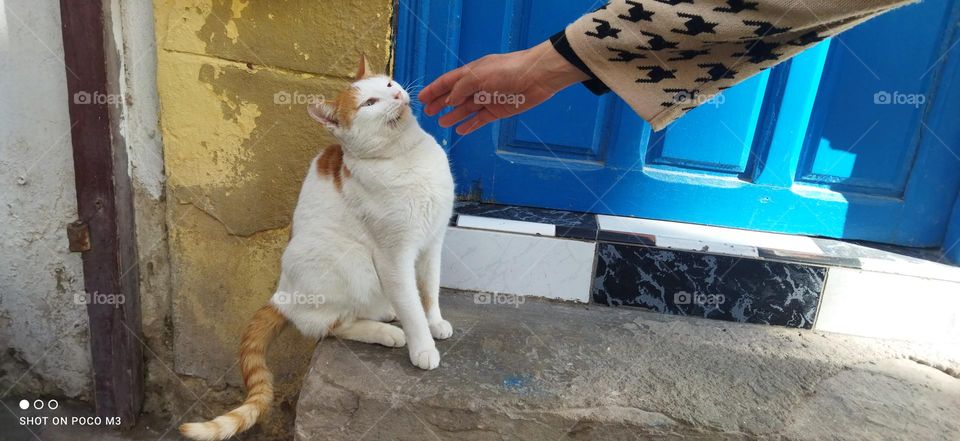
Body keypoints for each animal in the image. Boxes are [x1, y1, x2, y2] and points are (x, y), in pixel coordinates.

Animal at [185, 55, 462, 440]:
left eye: (388, 84)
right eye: (369, 103)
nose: (397, 95)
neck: (406, 155)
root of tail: (281, 293)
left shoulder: (433, 242)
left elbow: (429, 290)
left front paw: (434, 321)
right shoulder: (394, 256)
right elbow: (411, 301)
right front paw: (423, 345)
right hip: (351, 259)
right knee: (331, 326)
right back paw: (388, 330)